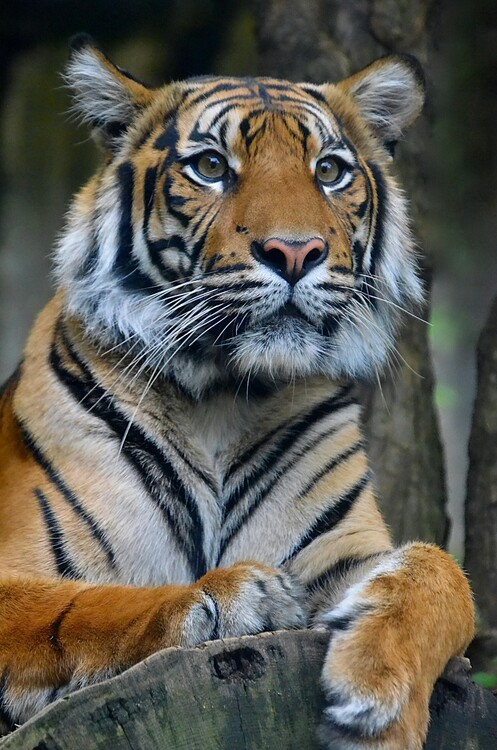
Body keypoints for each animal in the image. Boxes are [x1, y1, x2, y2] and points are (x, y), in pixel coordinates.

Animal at [0, 34, 474, 749]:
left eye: (329, 170)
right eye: (210, 166)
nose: (295, 251)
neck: (221, 398)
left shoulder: (345, 552)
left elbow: (443, 575)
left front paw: (380, 696)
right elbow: (83, 603)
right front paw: (234, 597)